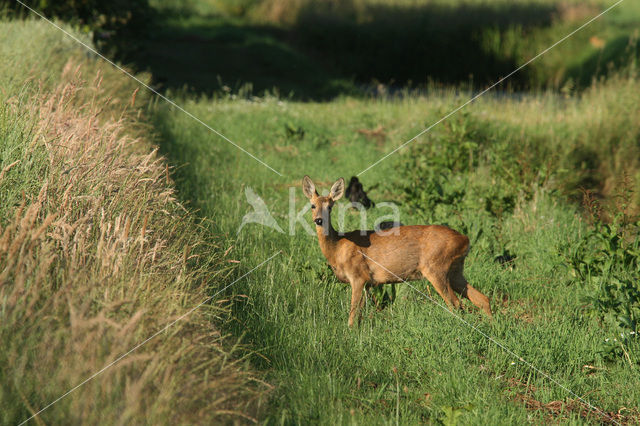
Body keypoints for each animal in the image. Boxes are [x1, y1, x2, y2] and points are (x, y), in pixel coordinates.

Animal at [302, 176, 492, 326]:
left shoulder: (358, 276)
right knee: (482, 299)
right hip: (455, 271)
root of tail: (465, 240)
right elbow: (360, 314)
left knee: (456, 304)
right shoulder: (369, 284)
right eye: (312, 206)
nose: (319, 220)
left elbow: (352, 314)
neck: (338, 248)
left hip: (436, 268)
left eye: (330, 207)